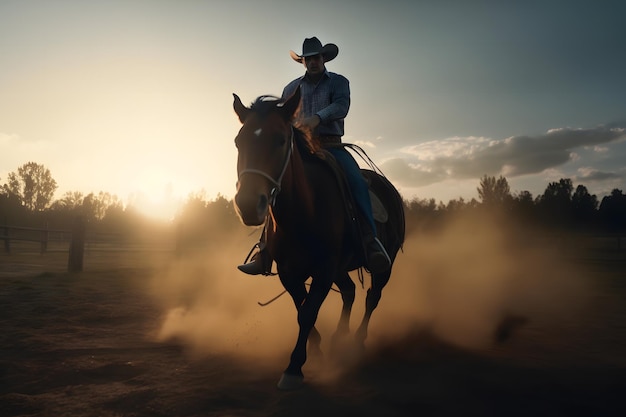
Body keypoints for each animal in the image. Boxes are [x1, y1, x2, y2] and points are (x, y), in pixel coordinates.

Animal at [232, 88, 402, 390]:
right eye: (239, 141)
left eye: (281, 140)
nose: (250, 205)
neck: (304, 210)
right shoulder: (290, 272)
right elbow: (302, 309)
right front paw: (318, 350)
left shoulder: (323, 271)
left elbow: (308, 312)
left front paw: (294, 368)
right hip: (340, 269)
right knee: (349, 292)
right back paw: (339, 338)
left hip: (385, 264)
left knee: (372, 297)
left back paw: (357, 342)